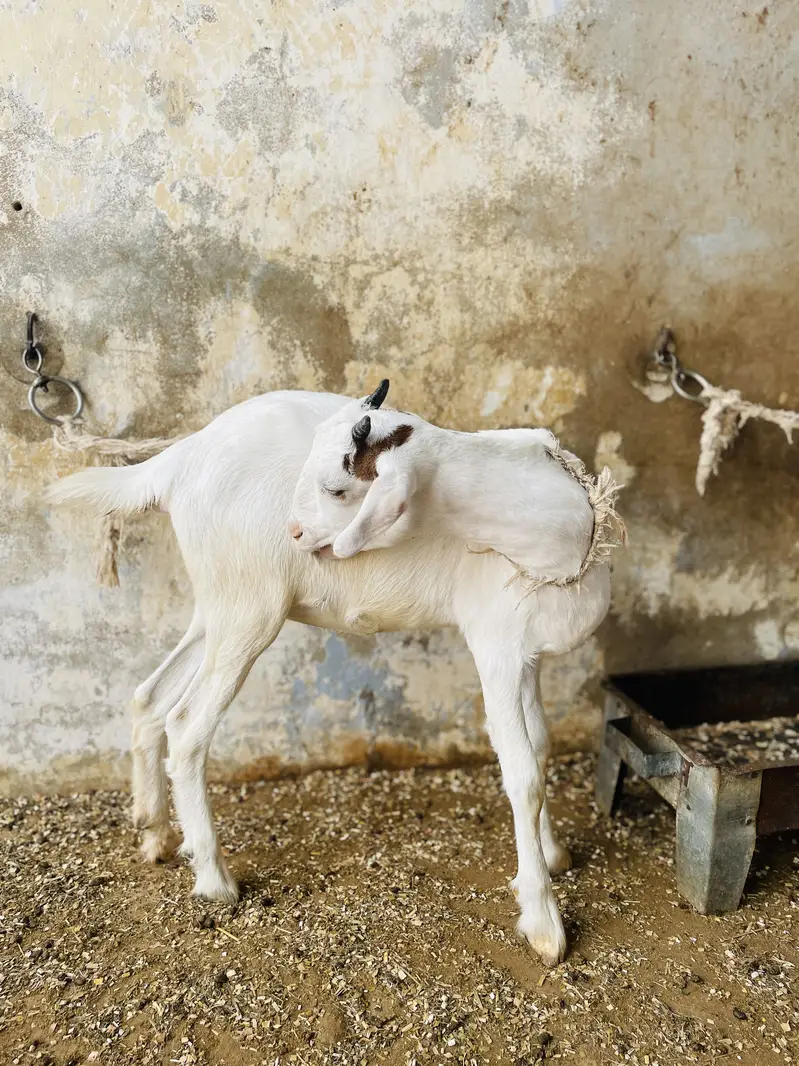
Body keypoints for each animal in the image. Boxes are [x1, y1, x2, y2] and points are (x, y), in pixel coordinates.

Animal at [45, 381, 619, 967]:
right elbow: (522, 773)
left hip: (219, 606)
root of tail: (180, 458)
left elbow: (542, 746)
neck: (555, 537)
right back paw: (213, 879)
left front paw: (551, 853)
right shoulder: (495, 647)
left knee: (149, 698)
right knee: (186, 725)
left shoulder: (526, 653)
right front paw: (543, 919)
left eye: (335, 489)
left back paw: (155, 832)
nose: (296, 531)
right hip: (250, 609)